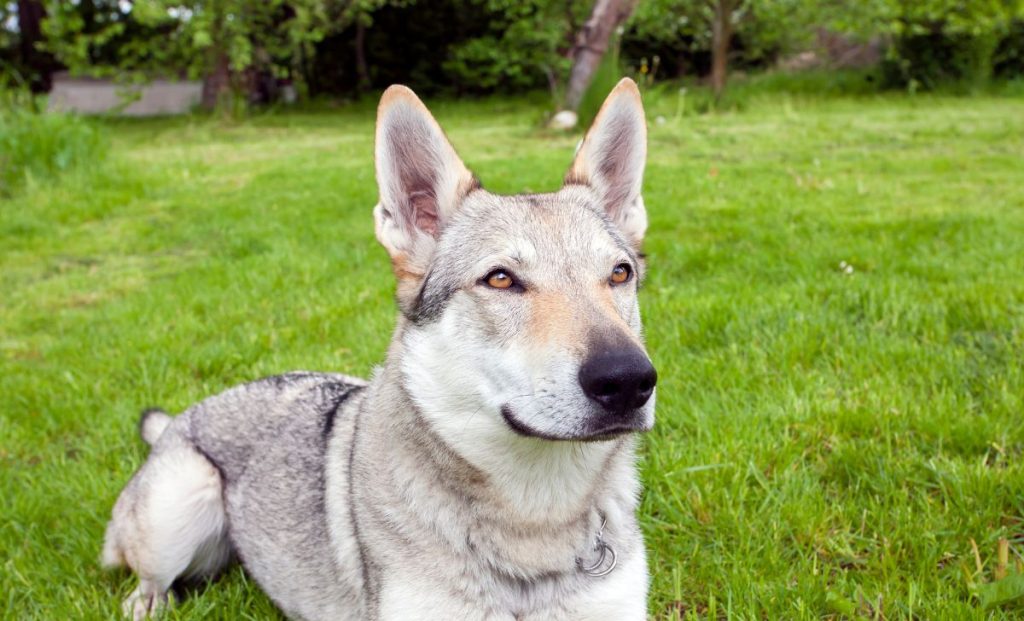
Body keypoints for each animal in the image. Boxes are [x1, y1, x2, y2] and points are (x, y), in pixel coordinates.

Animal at [101, 78, 655, 621]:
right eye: (501, 279)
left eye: (618, 274)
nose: (629, 380)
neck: (539, 521)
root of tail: (182, 417)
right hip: (180, 508)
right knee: (142, 585)